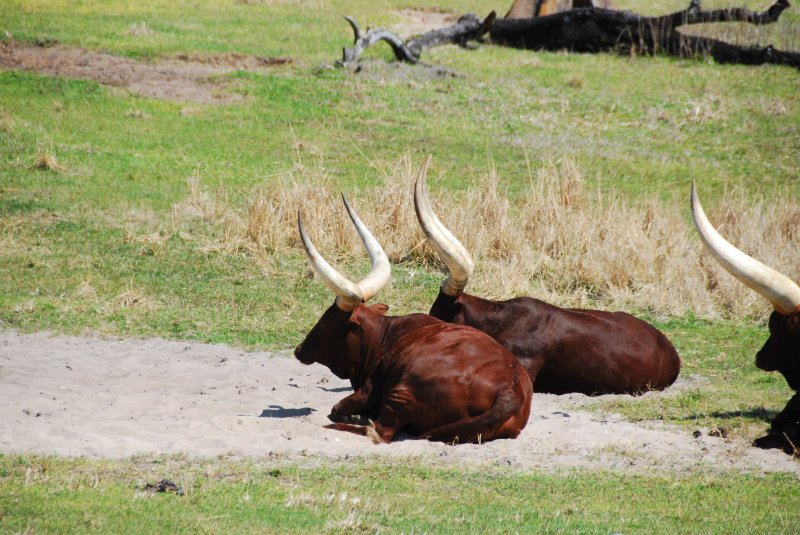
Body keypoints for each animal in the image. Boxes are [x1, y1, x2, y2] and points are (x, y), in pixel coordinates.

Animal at [294, 195, 532, 446]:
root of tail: (510, 390)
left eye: (325, 321)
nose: (299, 349)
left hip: (401, 392)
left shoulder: (368, 390)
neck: (385, 336)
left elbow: (338, 407)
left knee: (378, 432)